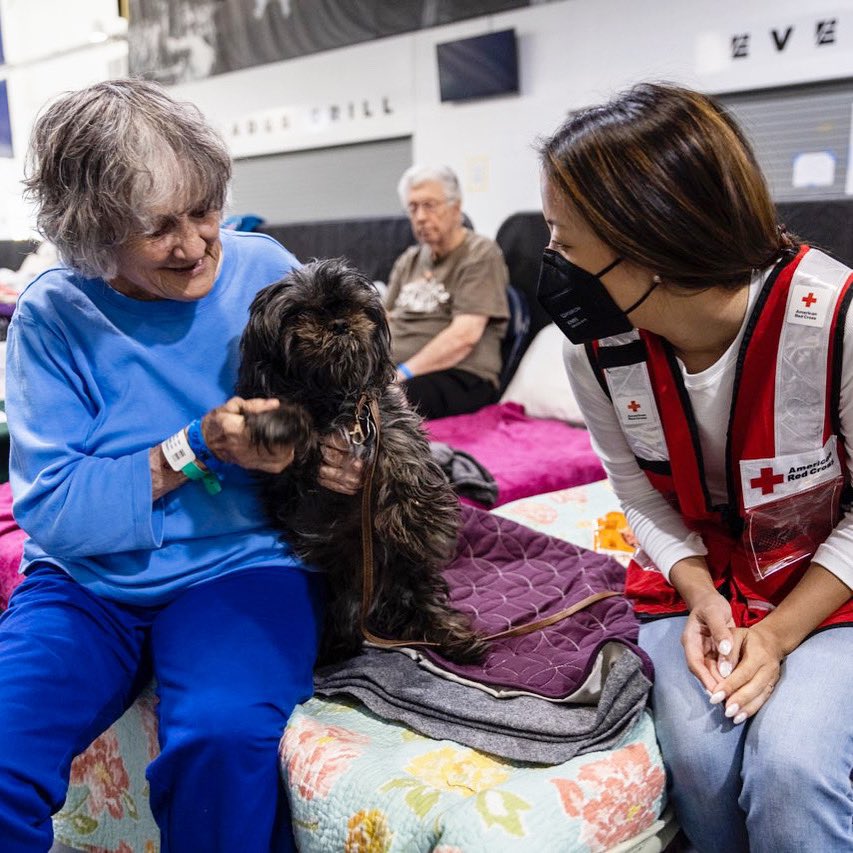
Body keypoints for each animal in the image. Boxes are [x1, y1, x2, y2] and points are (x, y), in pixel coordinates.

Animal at [236, 256, 482, 664]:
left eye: (352, 305)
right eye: (300, 311)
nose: (339, 323)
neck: (333, 395)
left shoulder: (384, 417)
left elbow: (402, 453)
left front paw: (421, 516)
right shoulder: (286, 476)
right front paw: (281, 421)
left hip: (408, 566)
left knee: (423, 605)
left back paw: (455, 638)